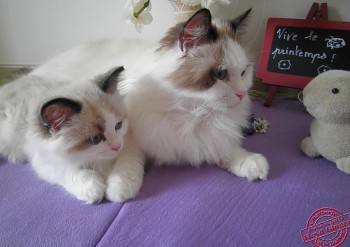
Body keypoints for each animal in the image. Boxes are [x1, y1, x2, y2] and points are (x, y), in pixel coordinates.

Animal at [0, 65, 139, 203]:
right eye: (96, 138)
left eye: (118, 126)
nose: (117, 147)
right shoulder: (44, 162)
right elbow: (71, 172)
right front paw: (92, 189)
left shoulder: (128, 144)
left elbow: (127, 166)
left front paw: (120, 189)